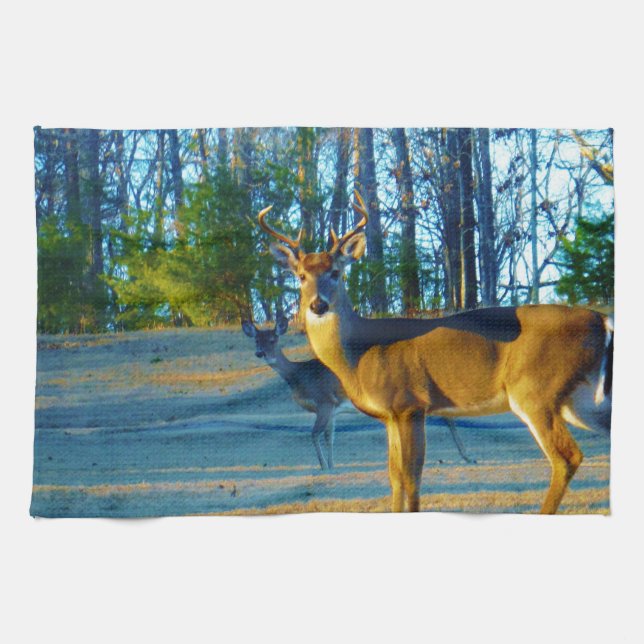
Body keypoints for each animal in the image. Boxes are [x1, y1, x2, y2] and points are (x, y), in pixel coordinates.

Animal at [241, 315, 347, 469]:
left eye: (273, 339)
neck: (299, 375)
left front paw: (323, 466)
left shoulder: (324, 399)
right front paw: (331, 465)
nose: (260, 353)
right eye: (256, 340)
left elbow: (314, 434)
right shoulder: (332, 409)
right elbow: (329, 437)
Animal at [257, 192, 613, 513]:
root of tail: (601, 319)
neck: (359, 355)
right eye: (301, 275)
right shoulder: (389, 414)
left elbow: (411, 478)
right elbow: (394, 478)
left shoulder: (410, 402)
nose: (318, 305)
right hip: (582, 400)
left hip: (535, 390)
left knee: (566, 458)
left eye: (336, 272)